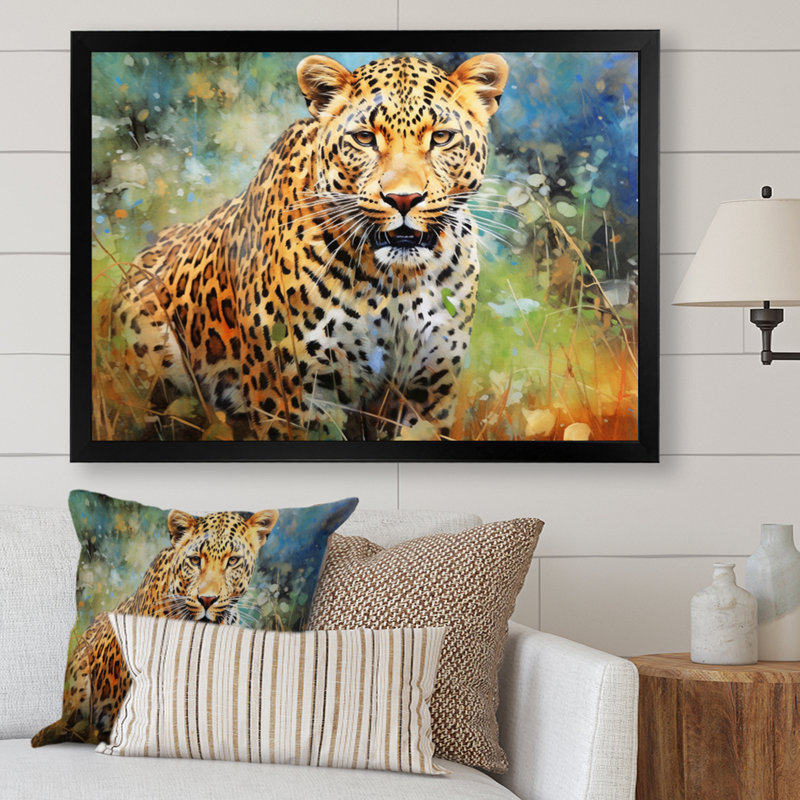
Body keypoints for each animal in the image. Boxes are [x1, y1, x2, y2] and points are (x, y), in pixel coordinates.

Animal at [108, 52, 509, 441]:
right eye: (365, 138)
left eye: (441, 137)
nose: (404, 199)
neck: (397, 281)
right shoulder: (290, 399)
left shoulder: (427, 391)